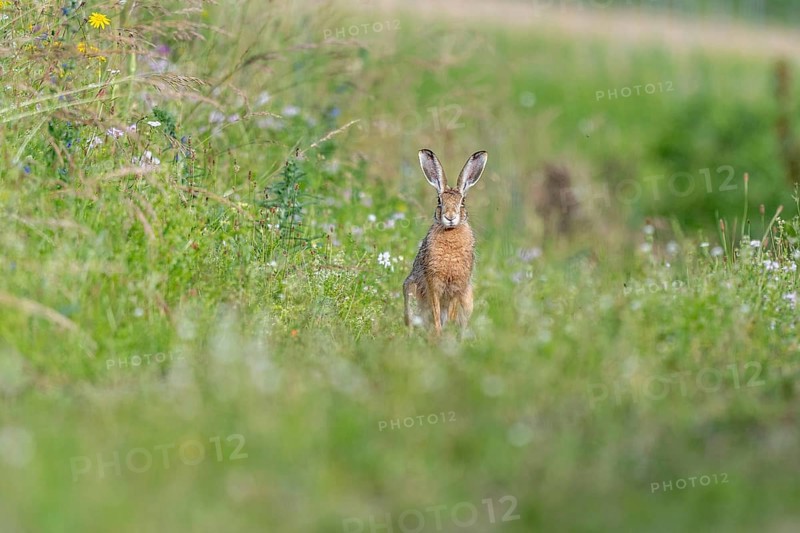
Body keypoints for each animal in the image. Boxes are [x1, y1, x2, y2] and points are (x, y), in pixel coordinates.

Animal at [403, 149, 488, 335]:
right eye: (439, 201)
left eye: (463, 202)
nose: (450, 217)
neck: (450, 232)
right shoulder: (433, 282)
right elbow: (436, 311)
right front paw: (439, 334)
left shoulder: (459, 285)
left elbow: (450, 312)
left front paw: (446, 334)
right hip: (411, 291)